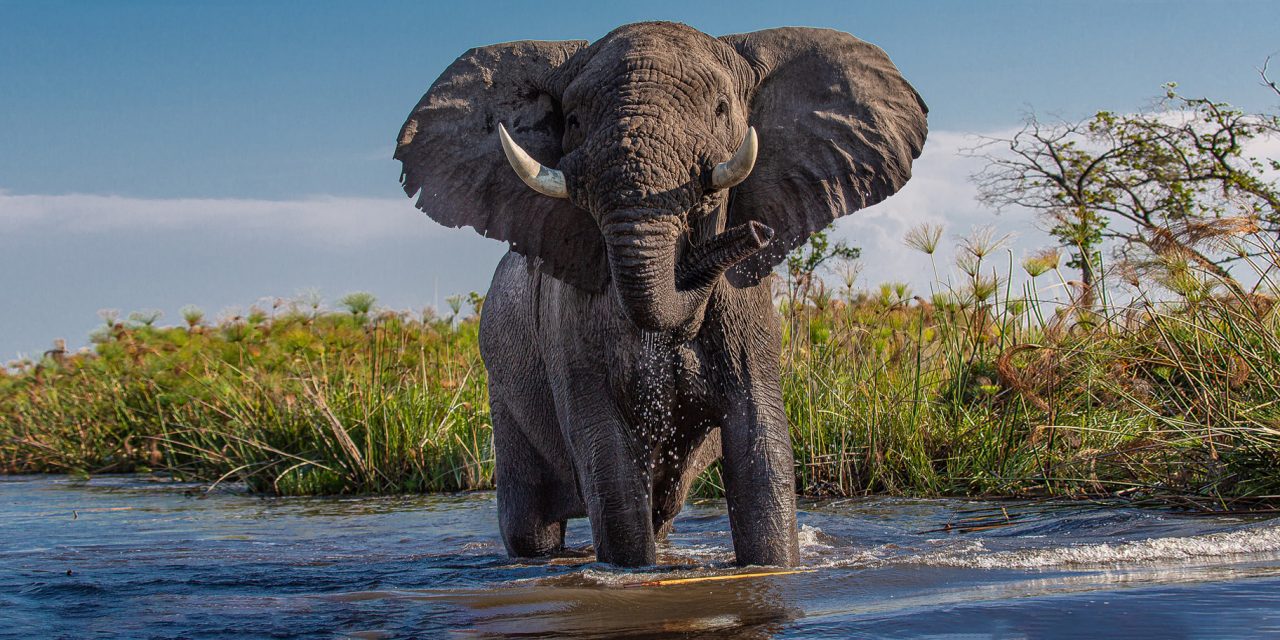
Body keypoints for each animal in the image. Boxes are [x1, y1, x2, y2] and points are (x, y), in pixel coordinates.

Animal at [394, 21, 927, 567]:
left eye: (721, 109)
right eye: (574, 120)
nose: (756, 232)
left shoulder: (748, 311)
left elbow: (761, 446)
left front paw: (772, 568)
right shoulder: (569, 323)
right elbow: (607, 460)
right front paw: (631, 574)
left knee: (661, 511)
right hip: (502, 384)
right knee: (531, 526)